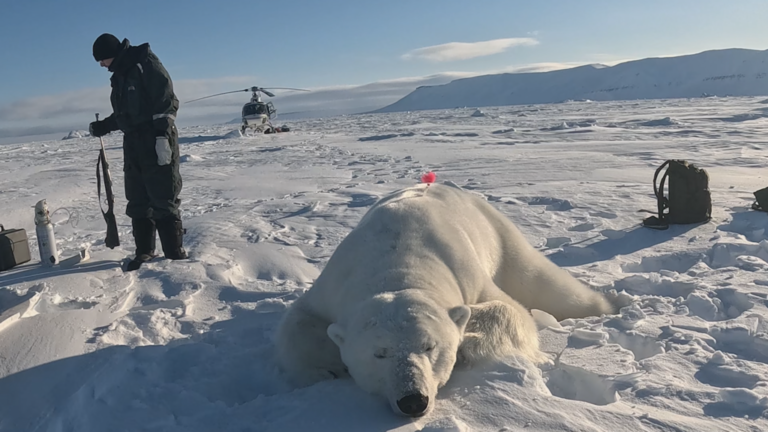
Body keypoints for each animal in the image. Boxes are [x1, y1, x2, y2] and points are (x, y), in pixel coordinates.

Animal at [275, 182, 615, 417]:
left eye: (430, 346)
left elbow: (511, 310)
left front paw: (470, 342)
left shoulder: (464, 269)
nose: (413, 400)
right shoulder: (335, 283)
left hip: (500, 236)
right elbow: (298, 320)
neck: (398, 261)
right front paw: (323, 370)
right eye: (379, 353)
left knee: (542, 282)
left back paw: (606, 305)